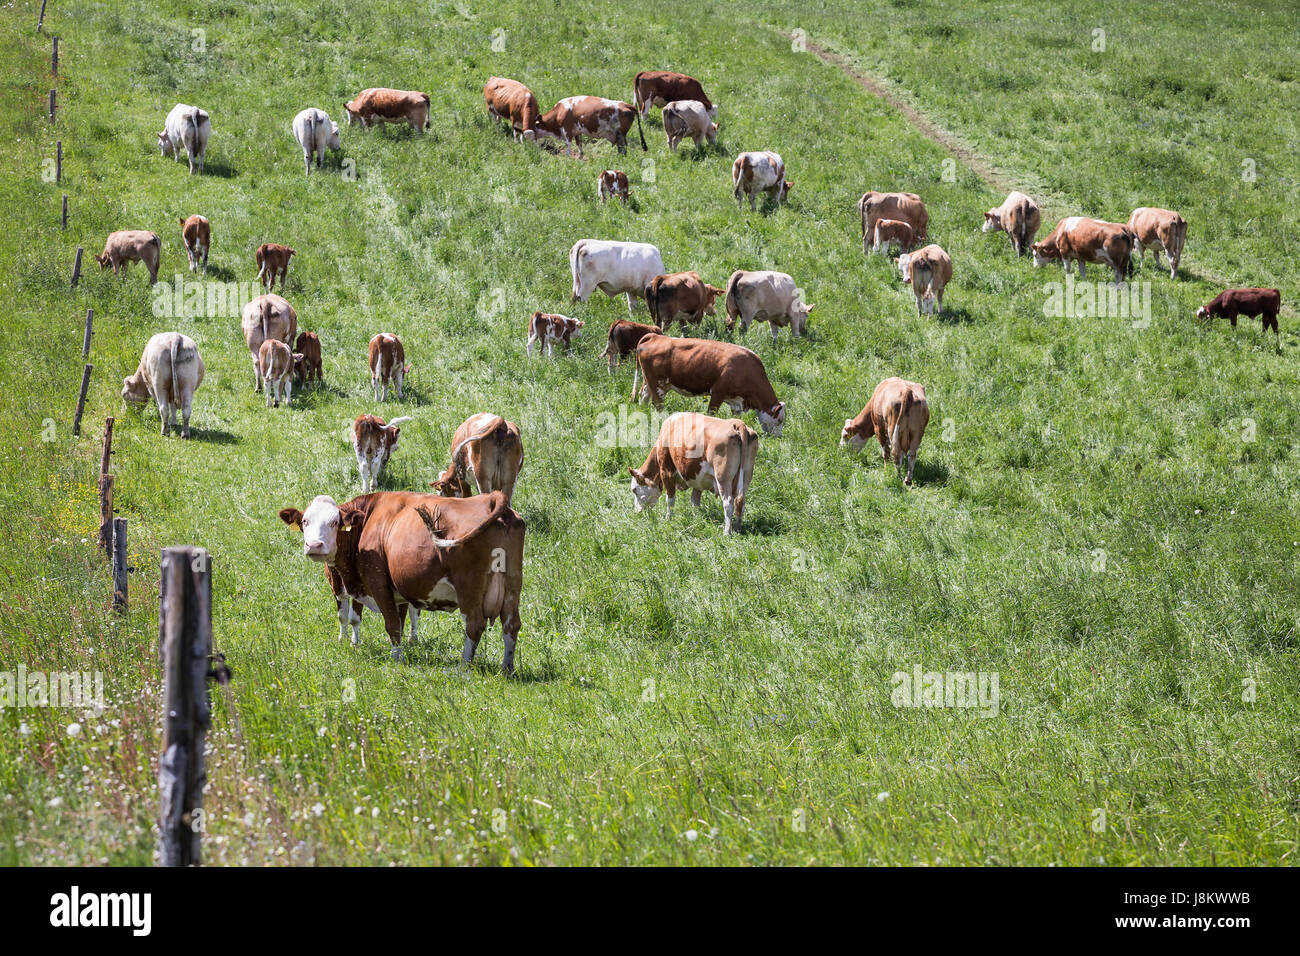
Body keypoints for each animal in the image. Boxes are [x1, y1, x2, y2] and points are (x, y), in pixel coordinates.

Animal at [278, 490, 524, 672]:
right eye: (305, 521)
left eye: (334, 522)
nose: (314, 546)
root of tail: (489, 498)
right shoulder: (397, 593)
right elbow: (401, 621)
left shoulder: (378, 584)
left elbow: (392, 624)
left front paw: (396, 658)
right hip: (512, 586)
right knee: (511, 624)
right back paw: (507, 669)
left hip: (469, 588)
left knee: (474, 625)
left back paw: (462, 668)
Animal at [632, 335, 786, 436]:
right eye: (779, 421)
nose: (778, 437)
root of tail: (655, 336)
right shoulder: (718, 392)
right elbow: (711, 413)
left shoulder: (736, 401)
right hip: (658, 384)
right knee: (657, 404)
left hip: (651, 382)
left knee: (643, 396)